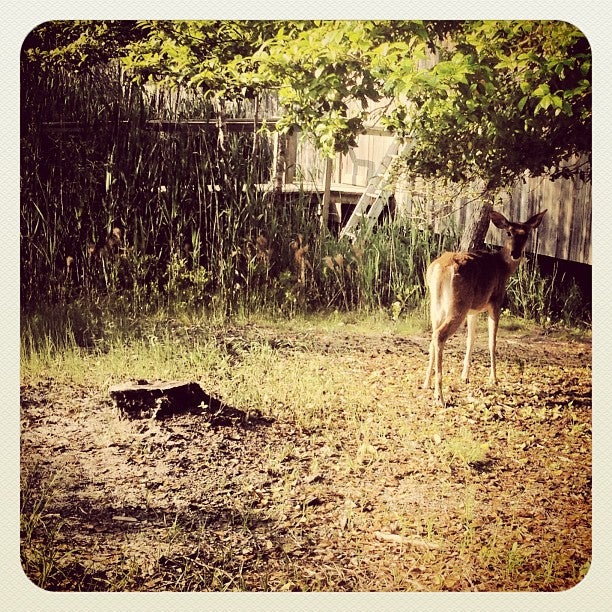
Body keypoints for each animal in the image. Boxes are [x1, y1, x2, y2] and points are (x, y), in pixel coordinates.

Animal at [424, 210, 548, 406]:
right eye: (509, 232)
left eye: (526, 234)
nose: (515, 253)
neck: (503, 267)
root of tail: (439, 269)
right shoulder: (495, 302)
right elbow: (492, 341)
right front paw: (494, 379)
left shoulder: (473, 310)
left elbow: (471, 339)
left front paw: (465, 376)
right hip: (458, 305)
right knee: (439, 335)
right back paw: (440, 396)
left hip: (437, 305)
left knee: (433, 335)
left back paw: (426, 383)